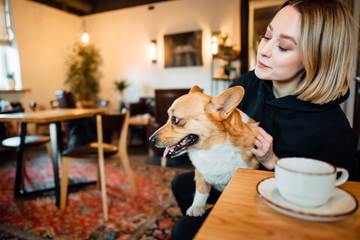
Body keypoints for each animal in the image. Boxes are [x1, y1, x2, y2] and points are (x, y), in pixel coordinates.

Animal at [148, 85, 258, 217]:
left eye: (175, 119)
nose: (151, 139)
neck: (212, 149)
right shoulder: (201, 172)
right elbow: (201, 190)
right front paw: (197, 207)